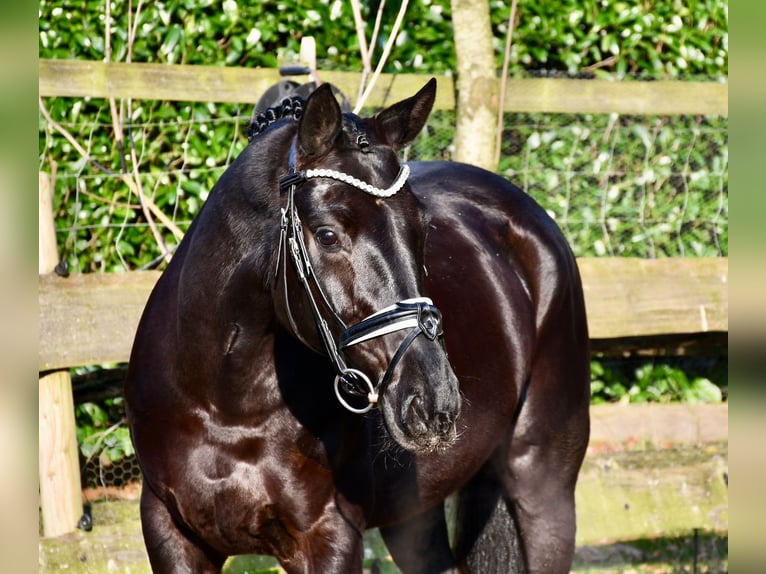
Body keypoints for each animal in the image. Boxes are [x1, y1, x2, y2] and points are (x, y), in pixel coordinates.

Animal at [127, 79, 592, 572]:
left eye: (422, 230)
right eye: (328, 235)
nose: (435, 401)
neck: (225, 406)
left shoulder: (329, 537)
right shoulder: (171, 532)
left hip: (543, 488)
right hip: (415, 515)